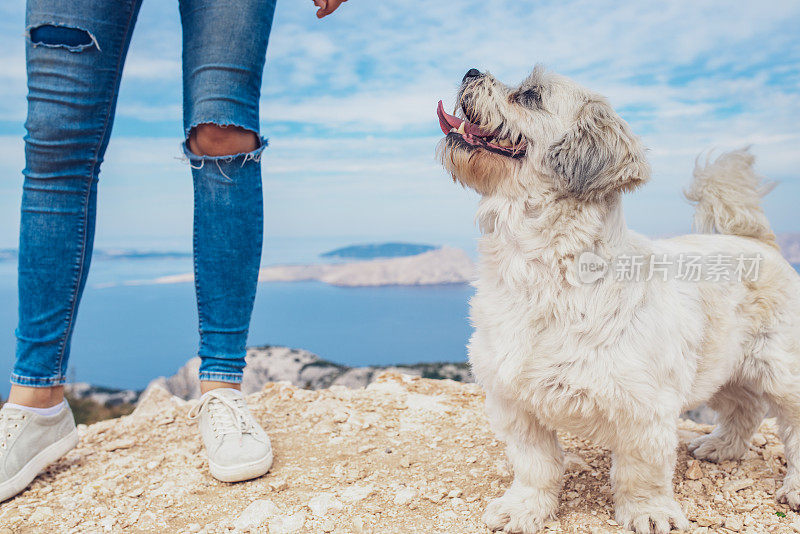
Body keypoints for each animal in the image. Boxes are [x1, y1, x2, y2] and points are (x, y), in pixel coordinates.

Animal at [438, 68, 800, 534]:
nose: (471, 71)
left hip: (780, 370)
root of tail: (756, 242)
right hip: (721, 367)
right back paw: (722, 446)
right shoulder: (514, 399)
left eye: (530, 95)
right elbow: (534, 464)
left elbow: (640, 471)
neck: (542, 270)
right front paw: (524, 508)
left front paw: (649, 512)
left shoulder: (644, 408)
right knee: (744, 406)